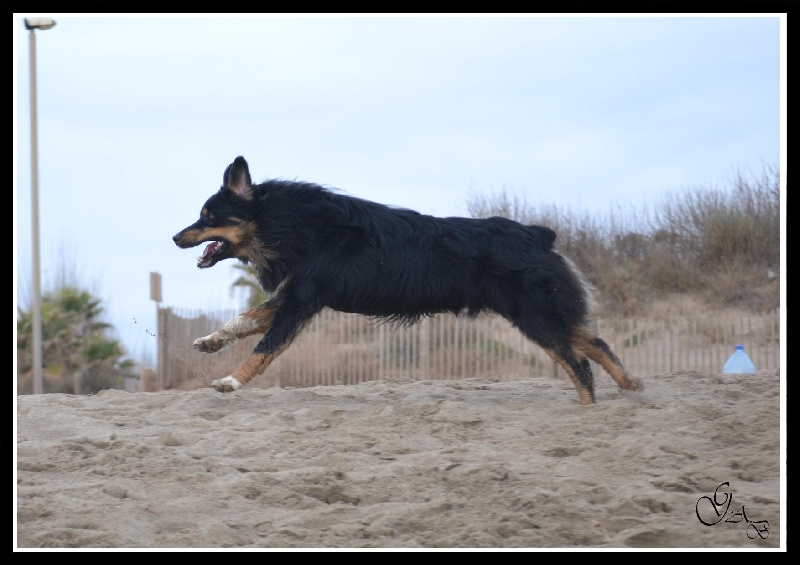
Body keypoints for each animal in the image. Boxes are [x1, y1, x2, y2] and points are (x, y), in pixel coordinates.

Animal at [170, 156, 644, 404]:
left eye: (207, 216)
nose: (176, 237)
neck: (286, 222)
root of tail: (539, 234)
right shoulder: (294, 297)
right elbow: (244, 321)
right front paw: (211, 341)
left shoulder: (302, 302)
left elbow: (264, 348)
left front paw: (231, 381)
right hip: (543, 313)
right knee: (595, 343)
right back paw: (630, 388)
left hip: (535, 316)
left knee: (579, 362)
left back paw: (589, 409)